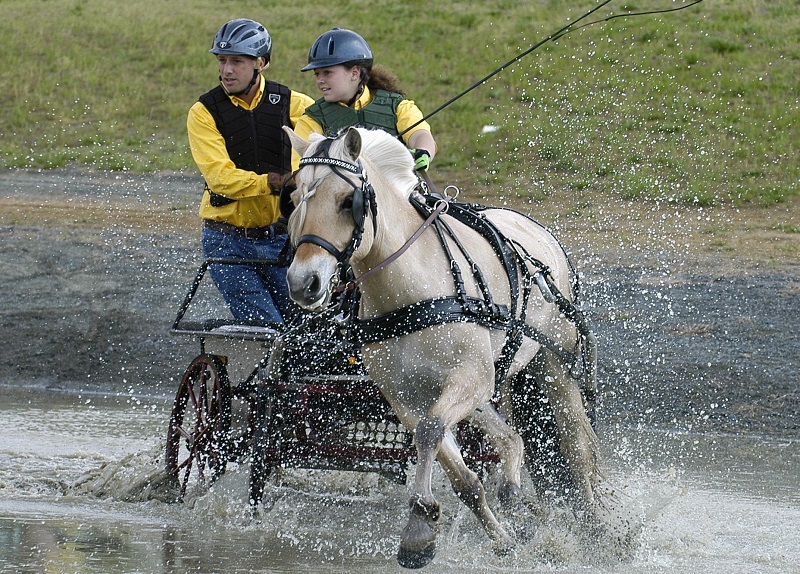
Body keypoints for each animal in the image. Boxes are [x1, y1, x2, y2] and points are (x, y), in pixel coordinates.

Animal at [282, 126, 603, 568]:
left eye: (348, 201)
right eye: (297, 197)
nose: (303, 283)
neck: (408, 291)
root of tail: (536, 229)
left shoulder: (470, 378)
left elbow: (431, 431)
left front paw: (419, 523)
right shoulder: (407, 397)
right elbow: (457, 471)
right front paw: (493, 538)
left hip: (551, 367)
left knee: (576, 449)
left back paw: (593, 527)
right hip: (487, 387)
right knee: (511, 439)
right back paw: (515, 497)